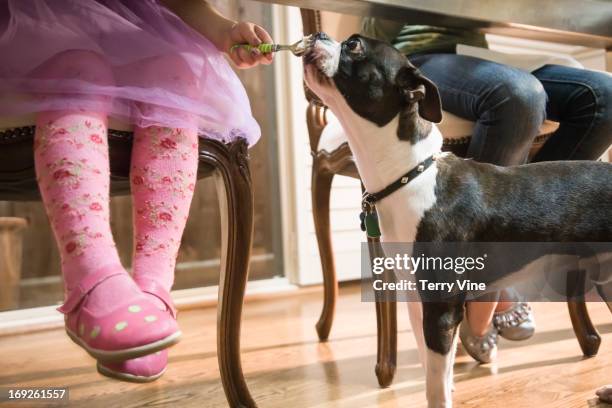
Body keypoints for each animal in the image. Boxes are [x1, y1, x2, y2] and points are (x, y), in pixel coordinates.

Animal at [302, 32, 612, 408]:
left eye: (354, 46)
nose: (318, 34)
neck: (410, 175)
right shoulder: (416, 300)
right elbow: (432, 370)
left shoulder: (440, 309)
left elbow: (436, 384)